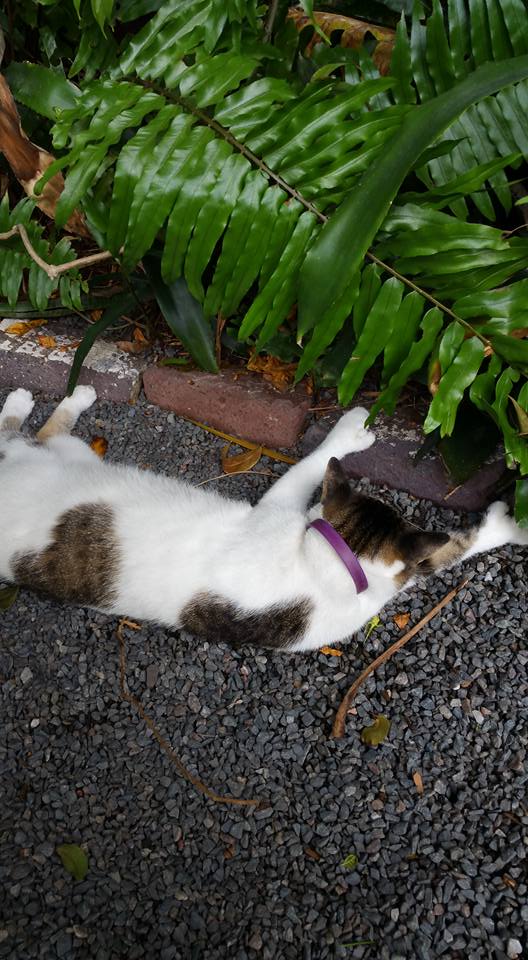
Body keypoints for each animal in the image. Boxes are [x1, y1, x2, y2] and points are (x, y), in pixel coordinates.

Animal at [1, 386, 526, 652]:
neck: (334, 567)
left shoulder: (391, 577)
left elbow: (445, 553)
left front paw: (507, 528)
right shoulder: (280, 508)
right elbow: (312, 464)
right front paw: (349, 433)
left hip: (68, 454)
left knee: (37, 433)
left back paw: (57, 398)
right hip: (50, 457)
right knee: (20, 433)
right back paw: (36, 399)